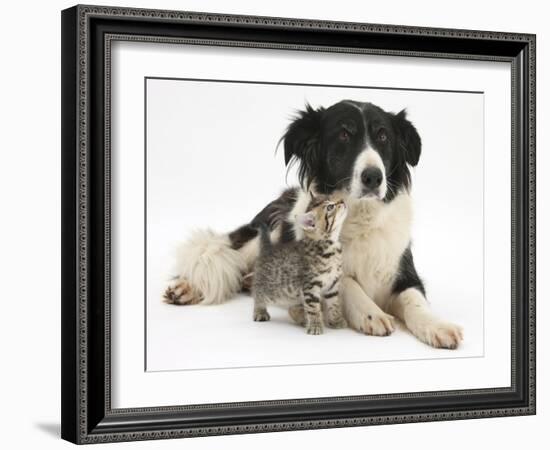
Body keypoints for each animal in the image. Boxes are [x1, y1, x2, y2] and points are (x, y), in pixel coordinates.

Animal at [251, 193, 348, 334]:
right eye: (330, 207)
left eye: (330, 199)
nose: (342, 200)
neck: (330, 247)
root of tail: (268, 249)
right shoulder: (310, 286)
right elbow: (313, 308)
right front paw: (315, 326)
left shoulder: (332, 285)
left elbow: (334, 304)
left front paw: (336, 321)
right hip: (270, 290)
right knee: (258, 295)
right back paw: (260, 311)